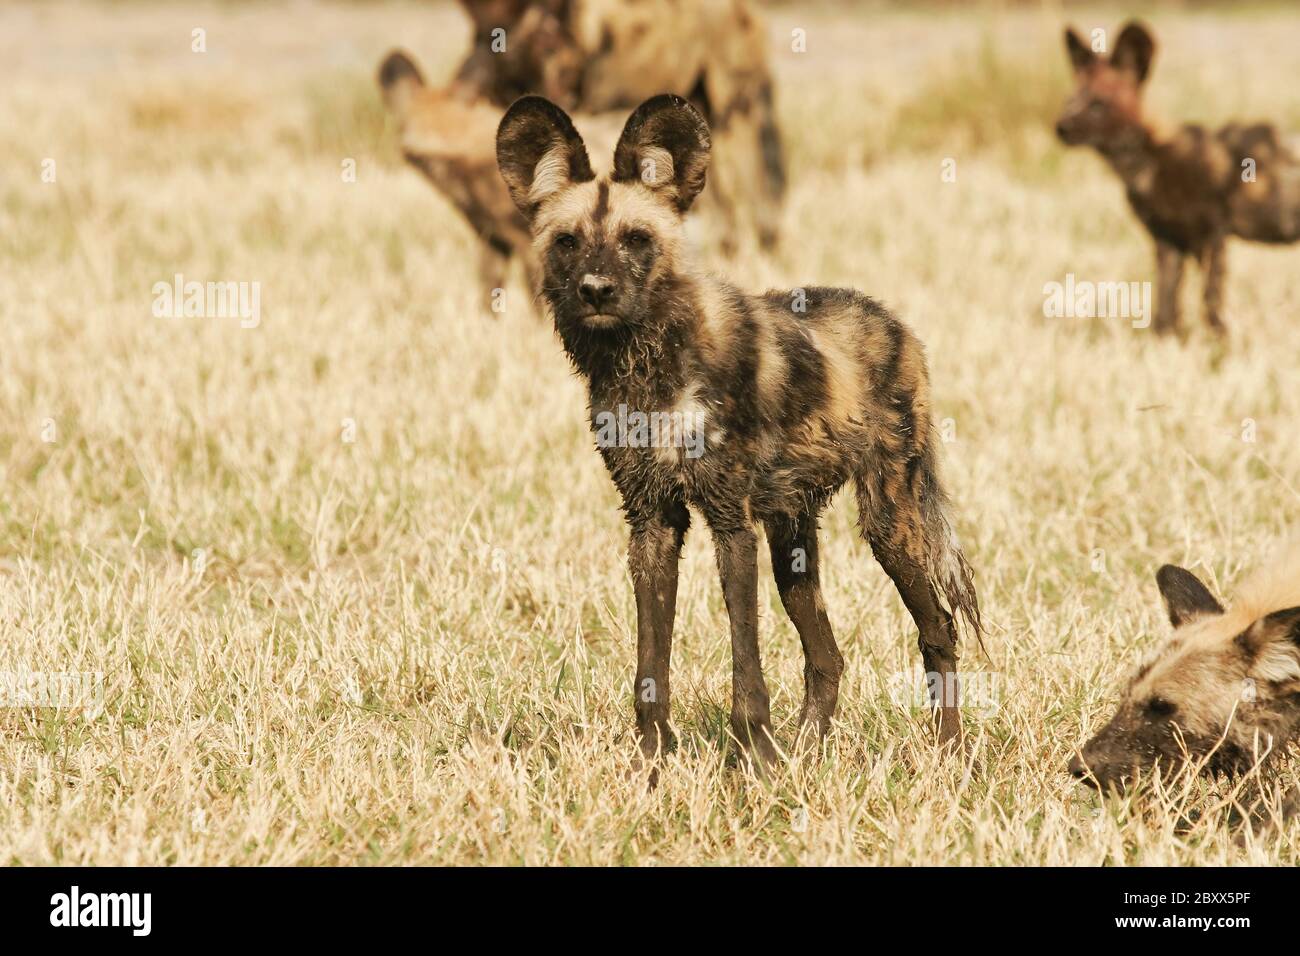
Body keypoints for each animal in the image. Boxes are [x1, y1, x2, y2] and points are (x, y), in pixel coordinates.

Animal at [491, 87, 977, 764]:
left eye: (635, 238)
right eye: (567, 241)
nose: (596, 290)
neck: (649, 366)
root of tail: (897, 324)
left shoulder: (729, 522)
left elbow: (746, 664)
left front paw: (755, 761)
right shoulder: (651, 524)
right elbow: (650, 667)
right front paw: (655, 759)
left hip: (890, 524)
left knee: (938, 629)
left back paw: (947, 753)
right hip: (791, 540)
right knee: (827, 658)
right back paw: (808, 753)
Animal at [1055, 20, 1300, 338]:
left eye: (1099, 104)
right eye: (1070, 100)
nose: (1060, 127)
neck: (1149, 160)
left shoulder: (1213, 236)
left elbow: (1211, 301)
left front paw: (1221, 341)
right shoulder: (1168, 241)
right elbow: (1166, 305)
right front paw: (1164, 342)